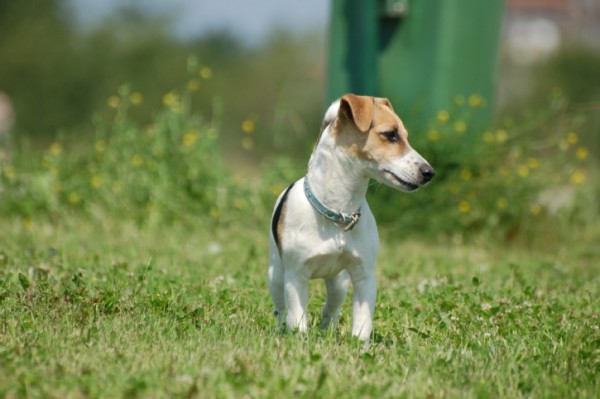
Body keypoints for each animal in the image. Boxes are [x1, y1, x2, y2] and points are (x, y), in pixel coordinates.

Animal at [270, 93, 434, 340]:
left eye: (406, 136)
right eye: (391, 134)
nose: (429, 172)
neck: (338, 213)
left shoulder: (364, 276)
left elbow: (363, 321)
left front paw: (358, 343)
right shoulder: (295, 276)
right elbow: (297, 318)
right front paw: (300, 339)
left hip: (339, 282)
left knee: (331, 306)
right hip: (276, 275)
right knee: (280, 307)